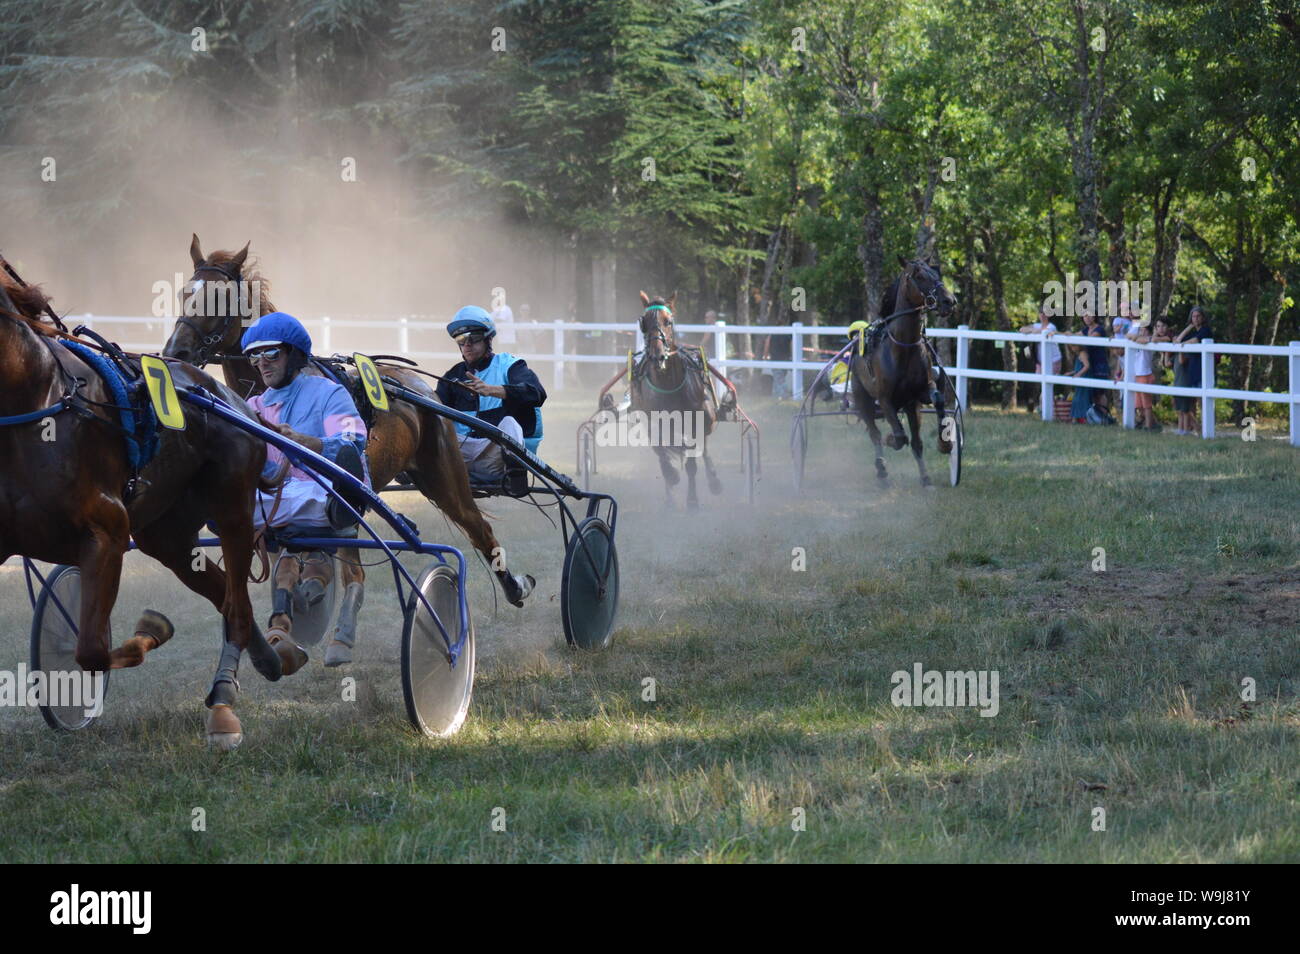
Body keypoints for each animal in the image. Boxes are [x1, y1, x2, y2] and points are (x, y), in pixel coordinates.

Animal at [0, 272, 289, 749]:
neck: (37, 399)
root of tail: (228, 397)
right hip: (167, 535)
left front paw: (153, 629)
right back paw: (268, 658)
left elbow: (91, 650)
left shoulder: (108, 532)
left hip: (231, 506)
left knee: (236, 604)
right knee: (222, 589)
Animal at [162, 235, 534, 665]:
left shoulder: (342, 494)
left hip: (442, 478)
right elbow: (284, 560)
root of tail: (415, 385)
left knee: (477, 528)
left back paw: (514, 586)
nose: (176, 352)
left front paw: (331, 625)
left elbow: (342, 566)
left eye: (221, 299)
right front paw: (288, 620)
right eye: (184, 293)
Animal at [631, 291, 722, 508]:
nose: (657, 355)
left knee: (704, 447)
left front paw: (692, 501)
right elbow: (661, 453)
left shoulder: (694, 422)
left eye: (668, 321)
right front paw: (671, 477)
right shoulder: (652, 422)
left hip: (708, 418)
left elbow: (692, 462)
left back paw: (713, 481)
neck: (668, 384)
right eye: (644, 321)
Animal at [851, 256, 957, 487]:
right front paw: (891, 439)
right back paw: (881, 470)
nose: (949, 301)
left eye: (937, 273)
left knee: (912, 440)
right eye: (919, 276)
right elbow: (899, 437)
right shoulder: (884, 398)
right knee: (874, 433)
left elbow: (937, 400)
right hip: (862, 398)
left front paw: (944, 445)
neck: (903, 348)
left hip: (908, 406)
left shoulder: (918, 395)